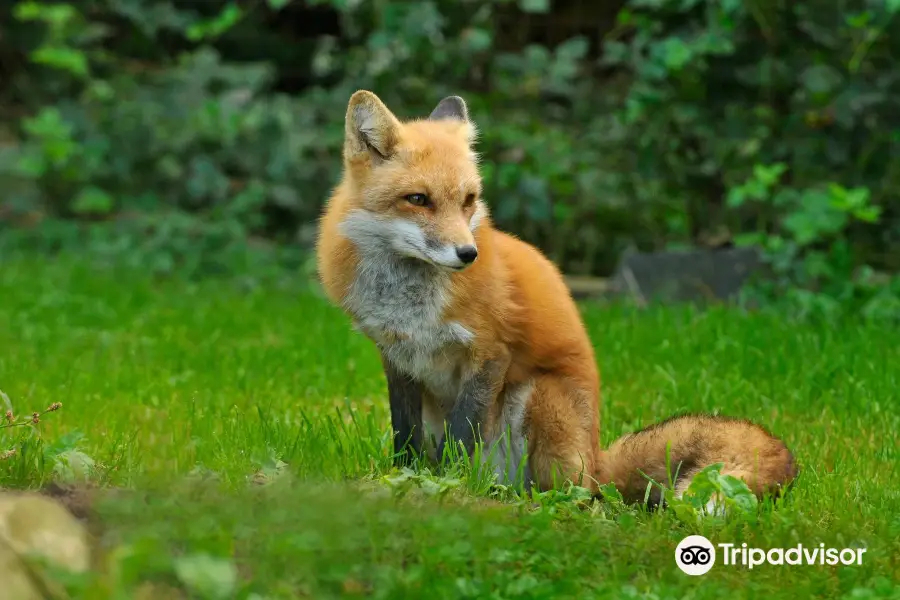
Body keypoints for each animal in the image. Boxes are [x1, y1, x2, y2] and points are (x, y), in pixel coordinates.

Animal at [314, 90, 796, 506]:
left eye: (469, 200)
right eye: (418, 199)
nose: (468, 254)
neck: (408, 299)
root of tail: (597, 460)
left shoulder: (489, 354)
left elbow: (462, 436)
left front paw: (448, 487)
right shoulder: (397, 357)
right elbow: (404, 436)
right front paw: (406, 480)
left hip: (538, 397)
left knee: (573, 494)